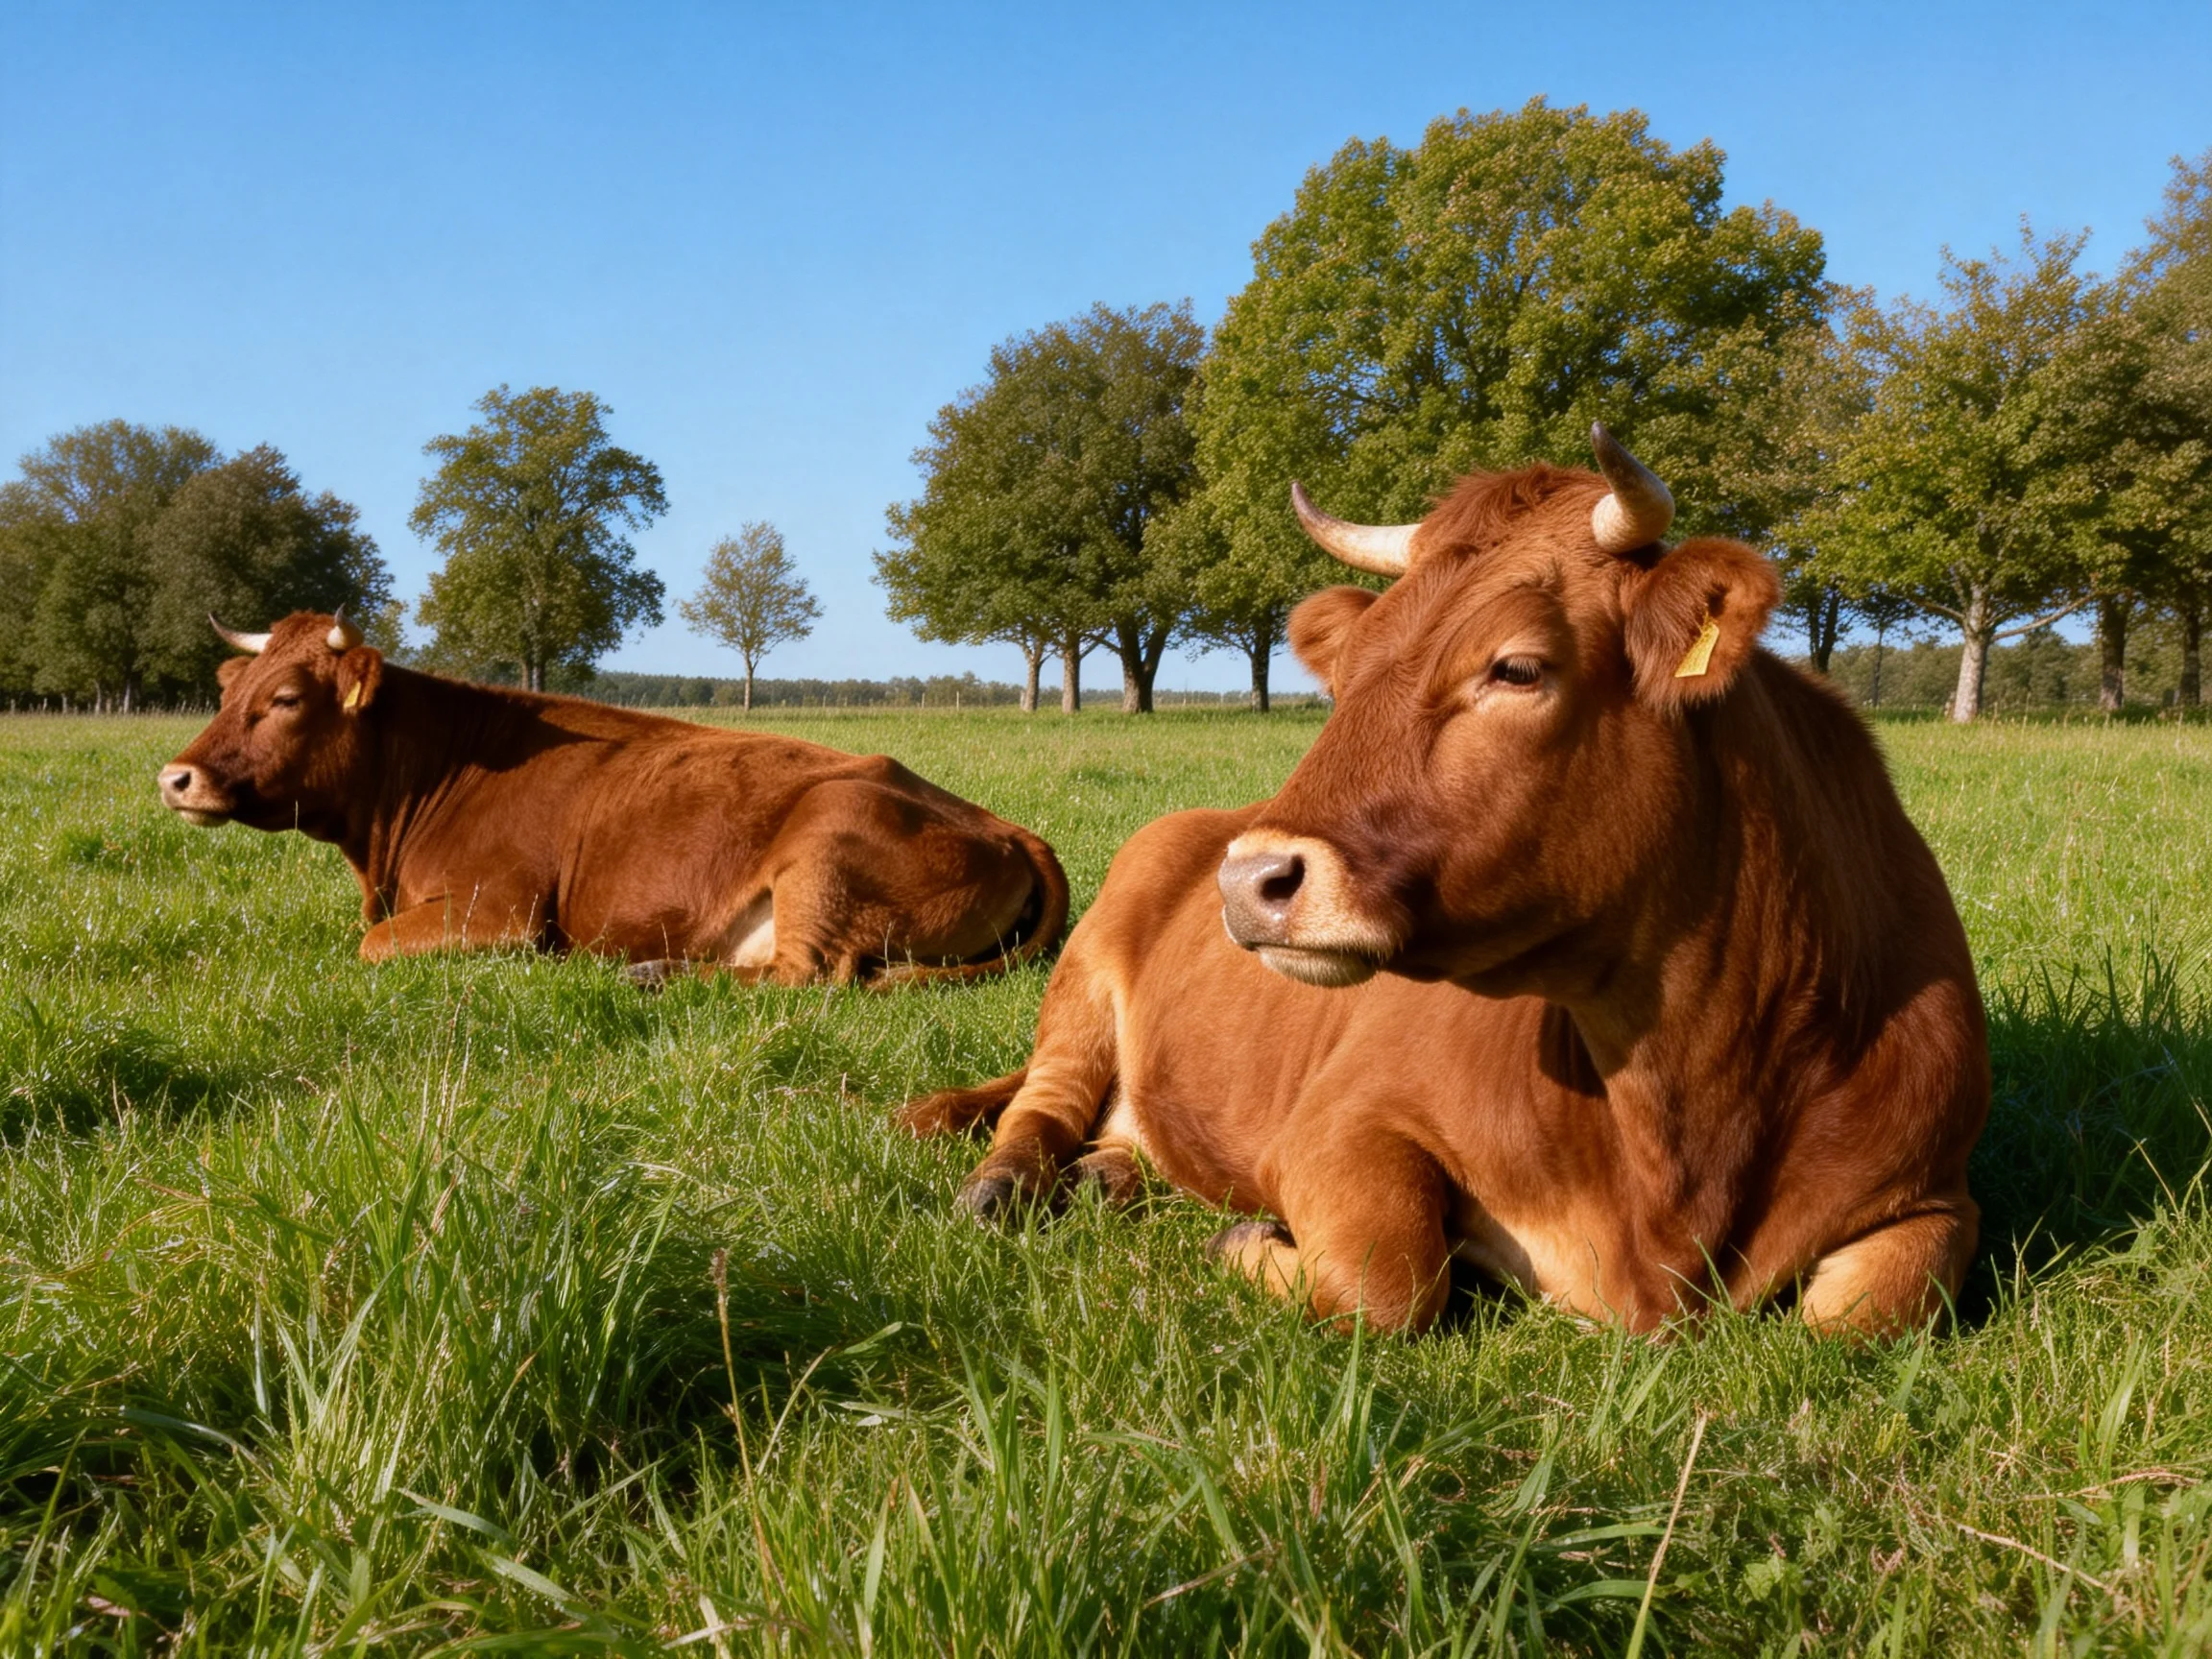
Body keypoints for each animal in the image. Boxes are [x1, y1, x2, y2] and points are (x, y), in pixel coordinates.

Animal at [159, 612, 1068, 985]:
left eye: (286, 698)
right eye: (229, 688)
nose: (176, 778)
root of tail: (1005, 825)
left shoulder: (502, 913)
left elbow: (372, 946)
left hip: (827, 846)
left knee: (808, 977)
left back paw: (650, 975)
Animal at [902, 427, 1987, 1336]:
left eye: (1516, 668)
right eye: (1347, 671)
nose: (1251, 877)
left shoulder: (1934, 1192)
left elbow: (1862, 1313)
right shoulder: (1338, 1125)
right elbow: (1391, 1282)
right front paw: (1246, 1240)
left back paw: (1106, 1180)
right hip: (1084, 974)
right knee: (1042, 1103)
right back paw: (1006, 1184)